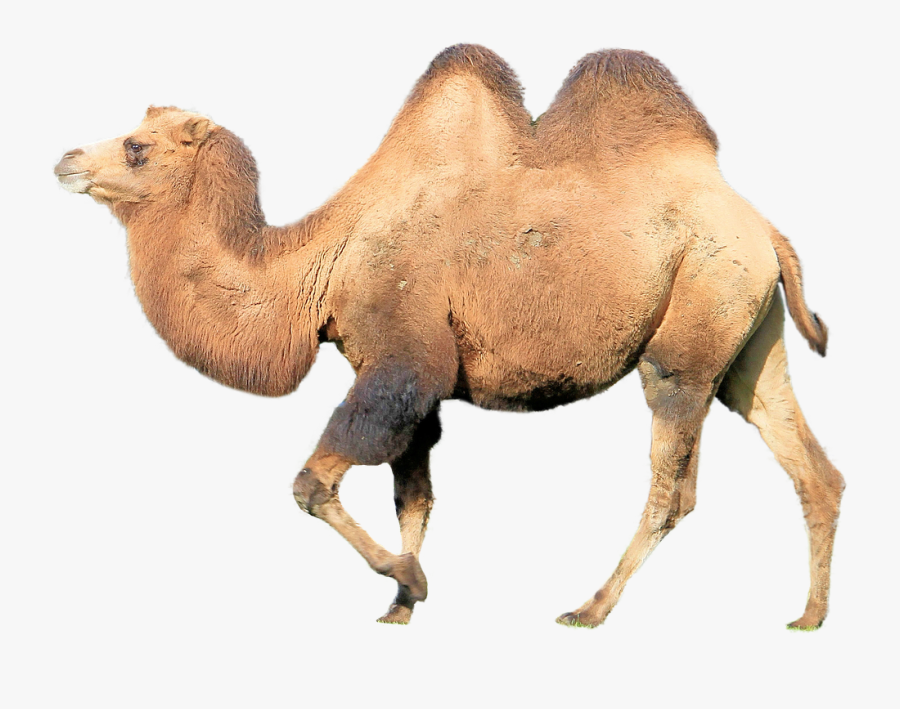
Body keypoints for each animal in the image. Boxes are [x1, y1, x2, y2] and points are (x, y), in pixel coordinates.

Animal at [54, 45, 844, 629]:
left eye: (135, 147)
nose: (65, 160)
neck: (320, 263)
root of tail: (764, 226)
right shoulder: (414, 381)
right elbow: (414, 493)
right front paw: (401, 604)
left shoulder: (402, 361)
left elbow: (313, 483)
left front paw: (409, 578)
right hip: (748, 332)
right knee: (802, 457)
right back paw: (809, 615)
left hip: (693, 319)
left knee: (672, 476)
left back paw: (590, 608)